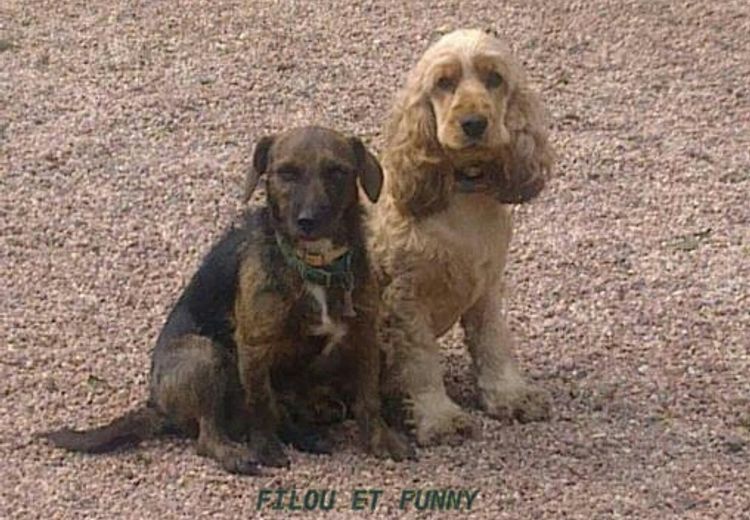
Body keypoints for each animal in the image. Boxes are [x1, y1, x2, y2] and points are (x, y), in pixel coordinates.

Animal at [46, 127, 414, 476]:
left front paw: (381, 440)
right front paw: (266, 450)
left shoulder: (364, 336)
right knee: (210, 435)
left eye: (337, 171)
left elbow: (368, 398)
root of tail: (157, 406)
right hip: (203, 354)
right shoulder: (253, 346)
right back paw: (238, 453)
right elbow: (261, 402)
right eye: (286, 173)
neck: (313, 264)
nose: (308, 221)